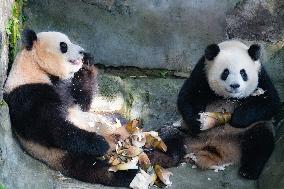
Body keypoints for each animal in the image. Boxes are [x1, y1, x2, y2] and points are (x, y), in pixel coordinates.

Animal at [178, 40, 280, 179]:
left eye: (243, 73)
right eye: (225, 73)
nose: (235, 85)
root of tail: (217, 147)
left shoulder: (261, 75)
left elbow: (270, 102)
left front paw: (236, 118)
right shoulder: (201, 72)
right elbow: (187, 96)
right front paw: (198, 122)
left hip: (249, 131)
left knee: (260, 142)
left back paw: (248, 171)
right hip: (186, 133)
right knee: (169, 136)